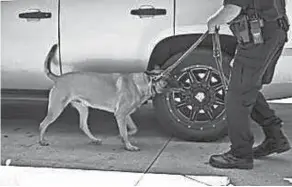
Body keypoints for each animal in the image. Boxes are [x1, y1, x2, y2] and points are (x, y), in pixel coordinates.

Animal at [38, 44, 169, 151]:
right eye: (168, 79)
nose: (175, 89)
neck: (141, 82)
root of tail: (58, 78)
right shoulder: (120, 114)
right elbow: (125, 132)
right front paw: (128, 145)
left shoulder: (124, 115)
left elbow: (132, 129)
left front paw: (124, 136)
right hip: (56, 109)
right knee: (43, 124)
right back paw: (41, 141)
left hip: (83, 109)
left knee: (83, 126)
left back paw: (94, 139)